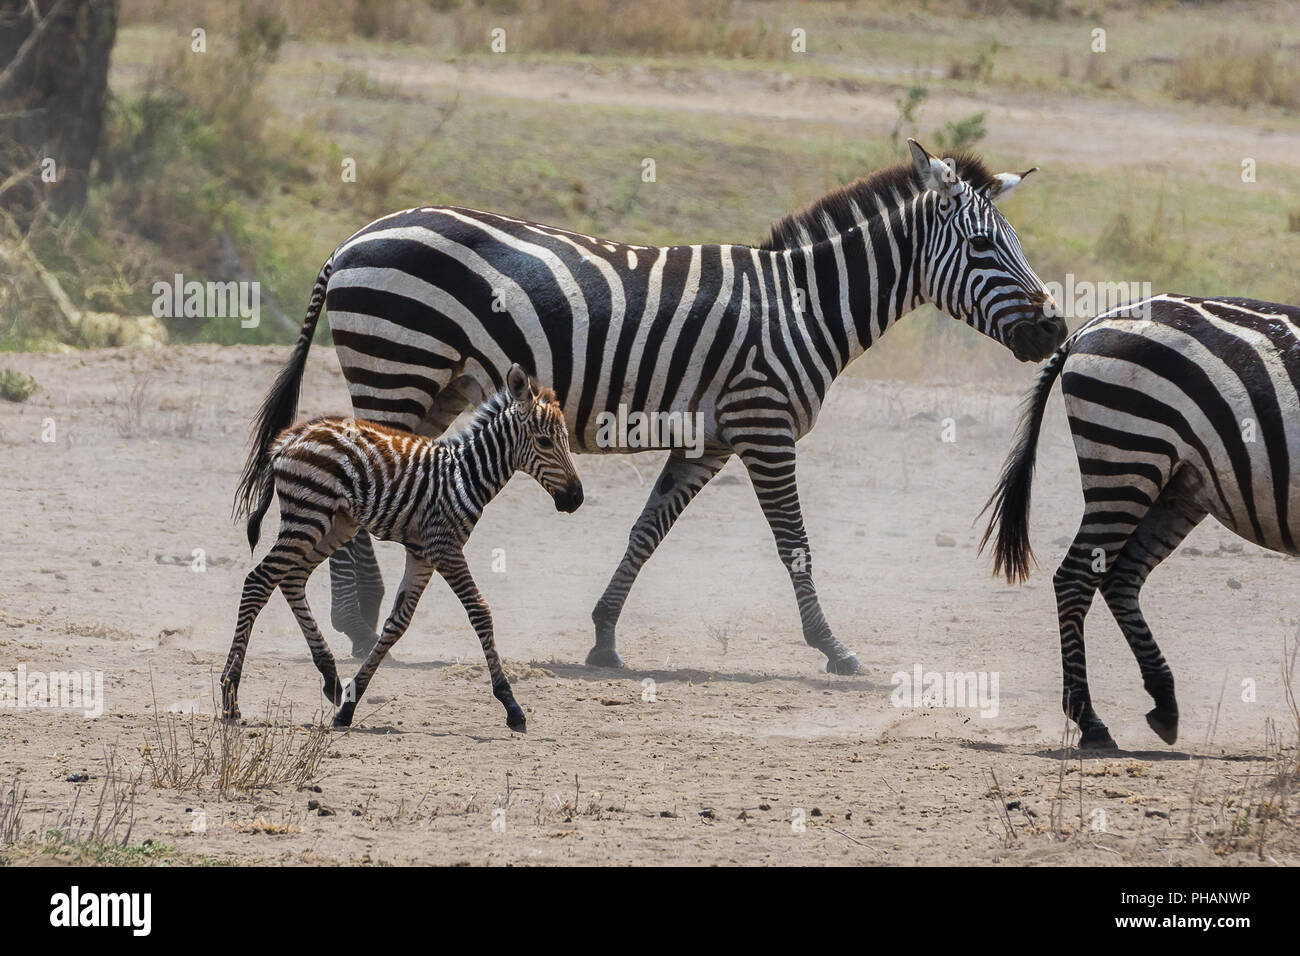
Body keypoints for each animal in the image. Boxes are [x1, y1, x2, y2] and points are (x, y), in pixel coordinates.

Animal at [221, 364, 583, 730]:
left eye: (566, 441)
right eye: (544, 441)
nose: (576, 499)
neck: (466, 476)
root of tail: (291, 437)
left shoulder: (422, 553)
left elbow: (398, 623)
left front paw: (349, 704)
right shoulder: (444, 547)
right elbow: (480, 611)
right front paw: (510, 704)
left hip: (335, 524)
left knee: (291, 579)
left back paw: (330, 678)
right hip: (308, 515)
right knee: (259, 581)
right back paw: (230, 698)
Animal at [233, 139, 1067, 675]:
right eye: (986, 248)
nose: (1057, 330)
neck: (803, 307)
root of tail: (352, 239)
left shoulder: (712, 437)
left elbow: (647, 530)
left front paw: (604, 637)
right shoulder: (765, 426)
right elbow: (794, 544)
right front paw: (834, 648)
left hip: (425, 385)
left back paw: (355, 616)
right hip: (399, 366)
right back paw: (357, 620)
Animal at [981, 294, 1300, 749]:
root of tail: (1088, 327)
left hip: (1178, 485)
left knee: (1121, 576)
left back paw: (1164, 704)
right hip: (1127, 460)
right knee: (1075, 578)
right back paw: (1090, 720)